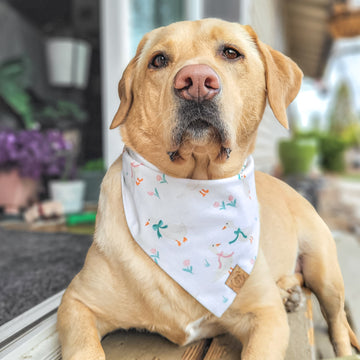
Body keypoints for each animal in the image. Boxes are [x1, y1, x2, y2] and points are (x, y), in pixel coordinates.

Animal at [57, 19, 358, 360]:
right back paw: (289, 293)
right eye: (158, 60)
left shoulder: (266, 316)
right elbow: (84, 349)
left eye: (231, 52)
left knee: (337, 321)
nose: (197, 81)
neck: (197, 189)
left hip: (325, 271)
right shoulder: (77, 302)